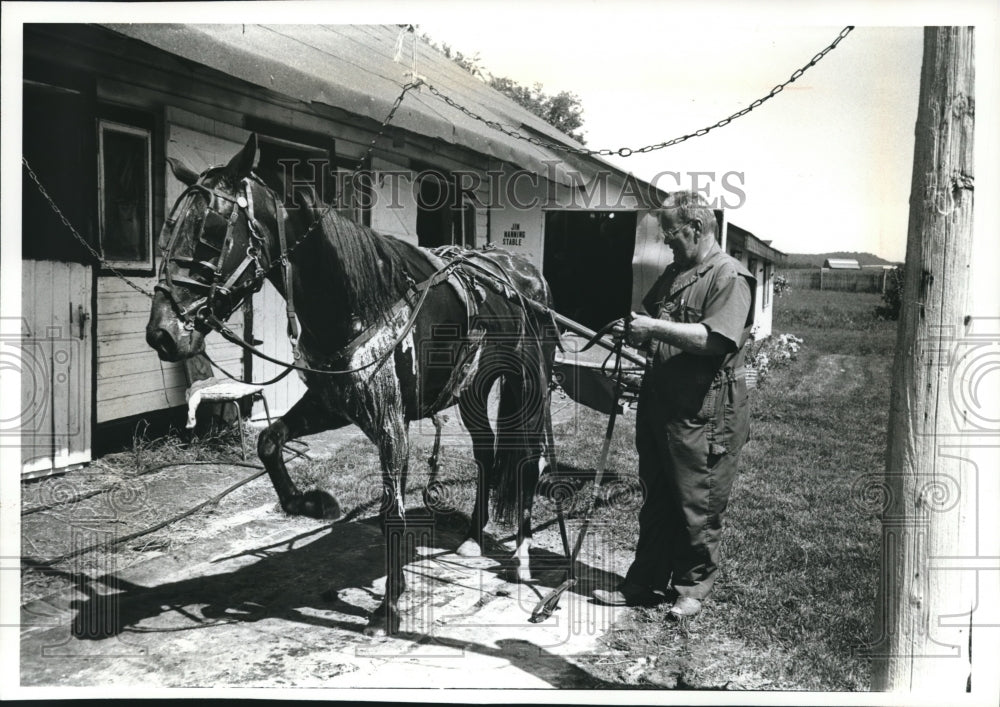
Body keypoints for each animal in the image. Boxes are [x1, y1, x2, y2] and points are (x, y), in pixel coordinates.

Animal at [145, 133, 560, 636]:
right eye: (168, 226)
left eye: (210, 230)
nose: (162, 332)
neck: (359, 300)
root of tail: (524, 272)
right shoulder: (332, 401)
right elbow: (269, 441)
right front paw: (313, 503)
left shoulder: (391, 422)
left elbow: (391, 513)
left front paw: (390, 605)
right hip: (473, 390)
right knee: (485, 454)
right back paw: (473, 537)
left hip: (529, 385)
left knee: (529, 460)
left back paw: (520, 560)